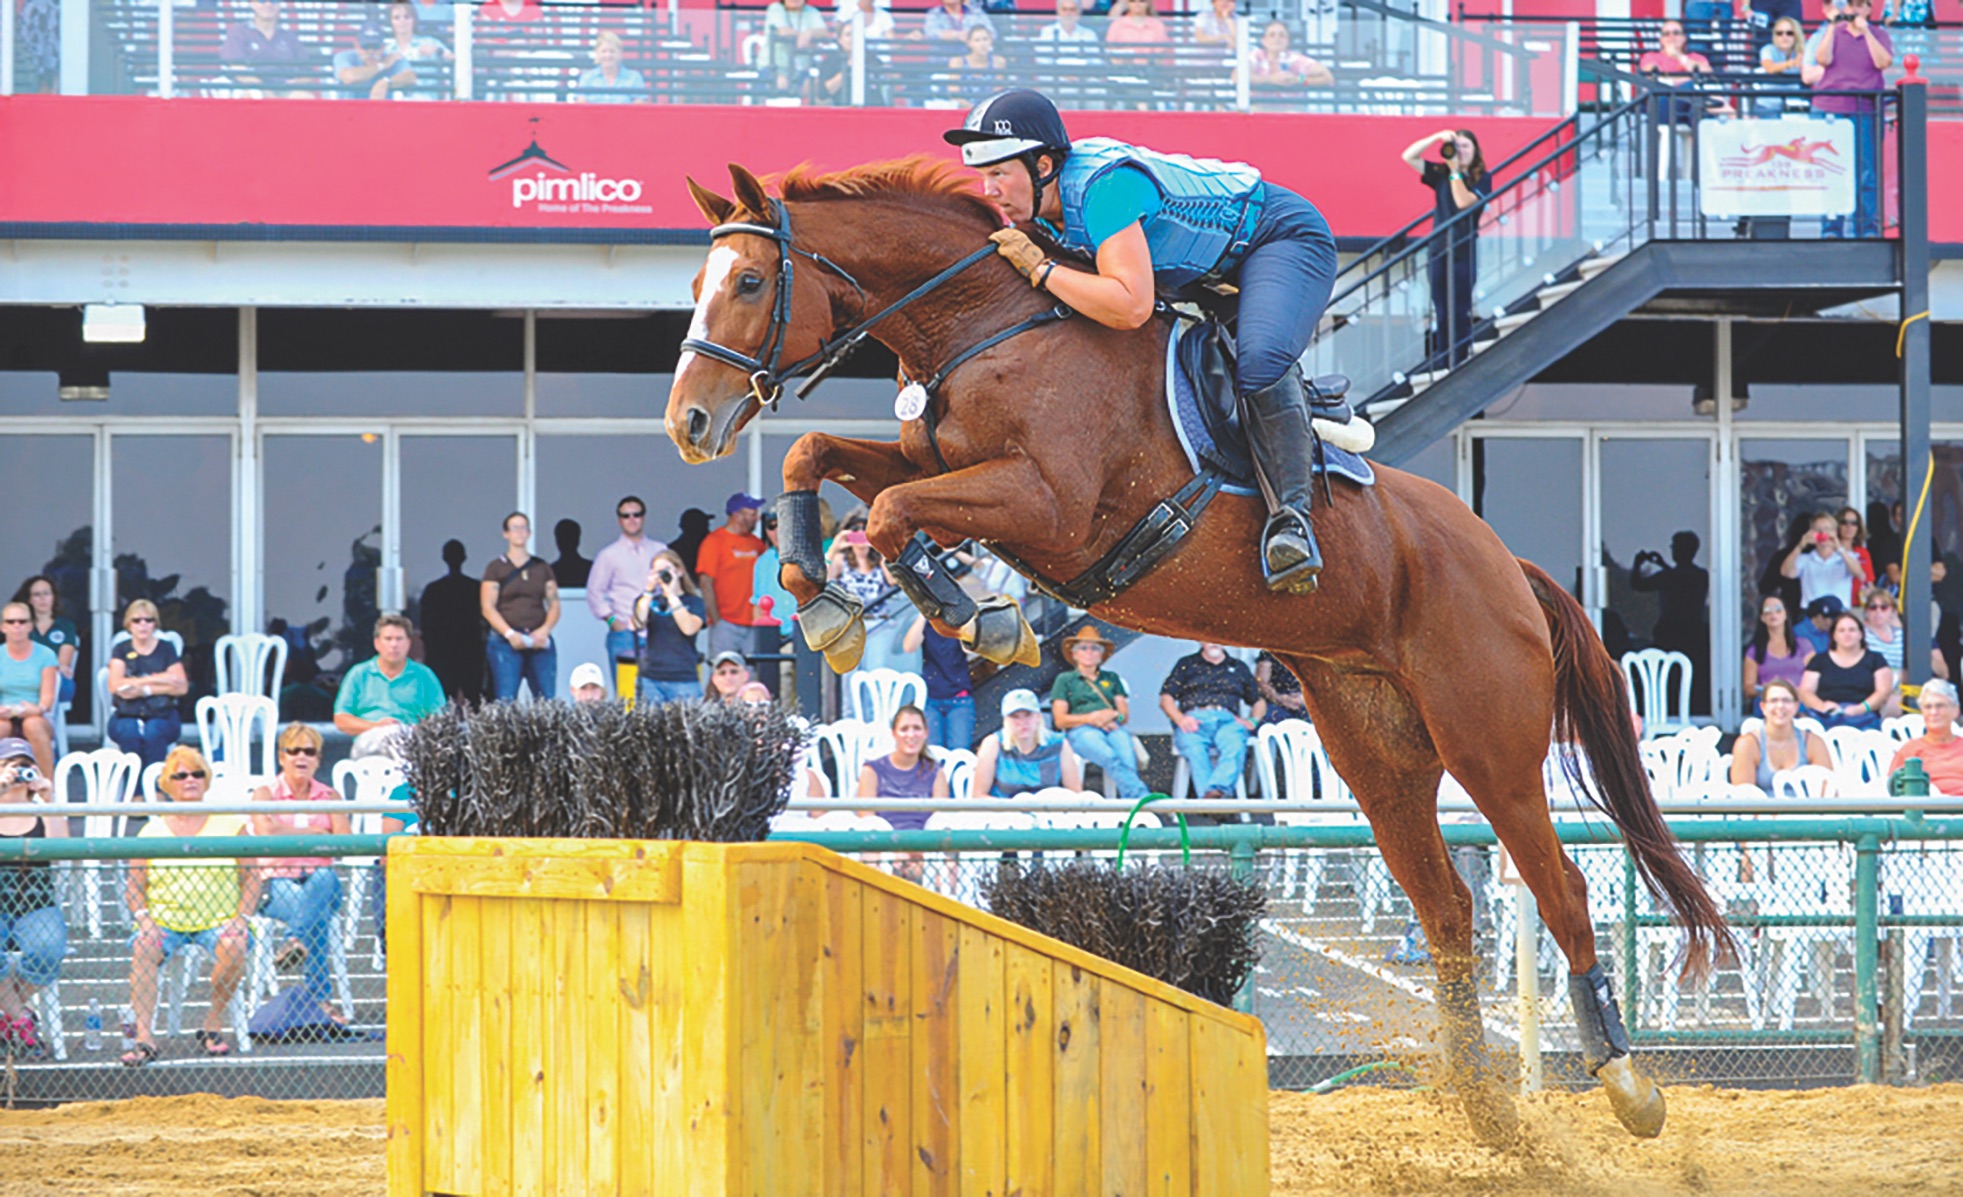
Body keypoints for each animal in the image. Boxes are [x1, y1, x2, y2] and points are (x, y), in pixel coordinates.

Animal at [667, 158, 1727, 1138]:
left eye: (750, 282)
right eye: (699, 283)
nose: (689, 423)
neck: (989, 325)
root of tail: (1505, 562)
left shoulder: (1045, 506)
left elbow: (890, 509)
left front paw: (969, 613)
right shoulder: (947, 467)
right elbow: (822, 458)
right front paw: (827, 601)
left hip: (1487, 742)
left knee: (1560, 885)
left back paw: (1625, 1082)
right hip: (1376, 756)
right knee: (1445, 907)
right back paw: (1482, 1107)